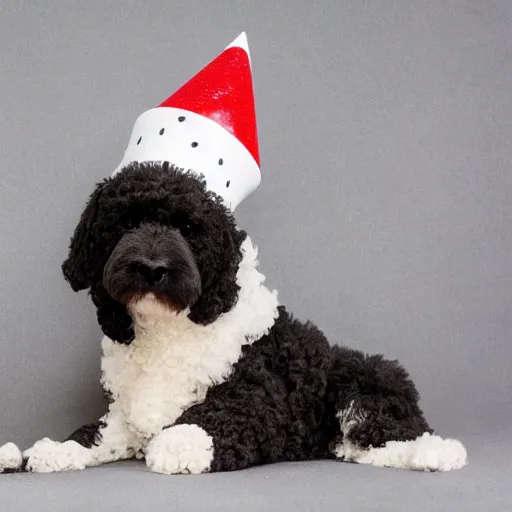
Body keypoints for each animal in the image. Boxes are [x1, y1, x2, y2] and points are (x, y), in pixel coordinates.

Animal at [0, 162, 466, 474]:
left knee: (394, 436)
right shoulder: (126, 416)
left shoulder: (263, 401)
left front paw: (180, 443)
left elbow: (216, 416)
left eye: (189, 228)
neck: (165, 332)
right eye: (126, 222)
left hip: (366, 380)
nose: (152, 269)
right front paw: (52, 450)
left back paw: (435, 453)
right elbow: (92, 433)